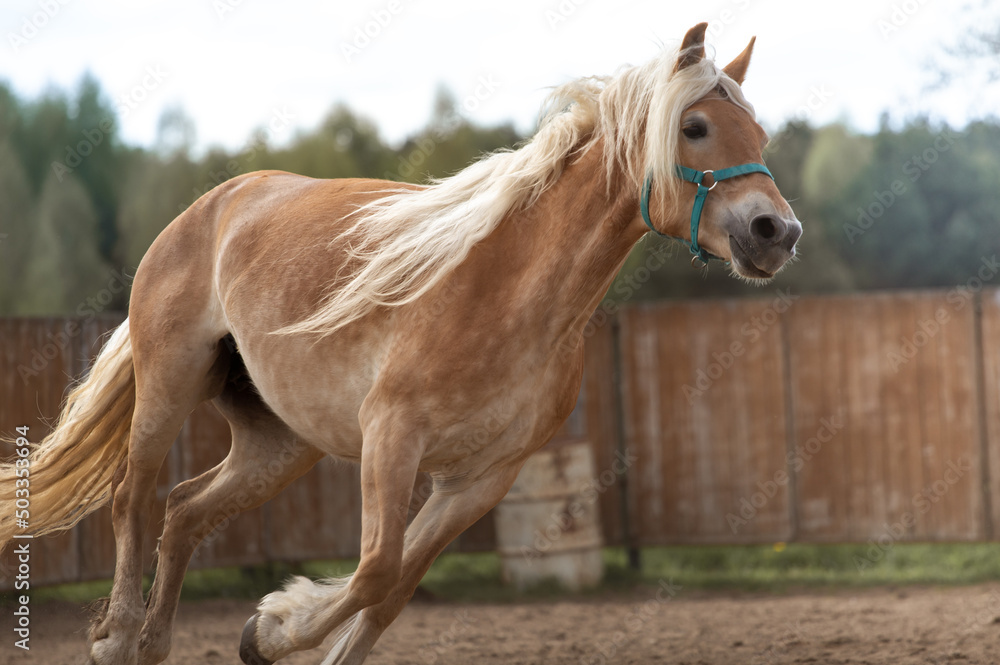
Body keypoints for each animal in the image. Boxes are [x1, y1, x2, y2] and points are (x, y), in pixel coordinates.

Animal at [0, 22, 800, 665]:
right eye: (694, 127)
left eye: (761, 136)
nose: (775, 232)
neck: (504, 288)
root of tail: (211, 205)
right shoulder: (392, 438)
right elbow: (377, 568)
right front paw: (272, 628)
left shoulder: (482, 478)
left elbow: (390, 592)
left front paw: (270, 630)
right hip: (170, 385)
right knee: (134, 497)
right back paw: (116, 636)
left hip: (279, 443)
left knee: (185, 510)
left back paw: (155, 641)